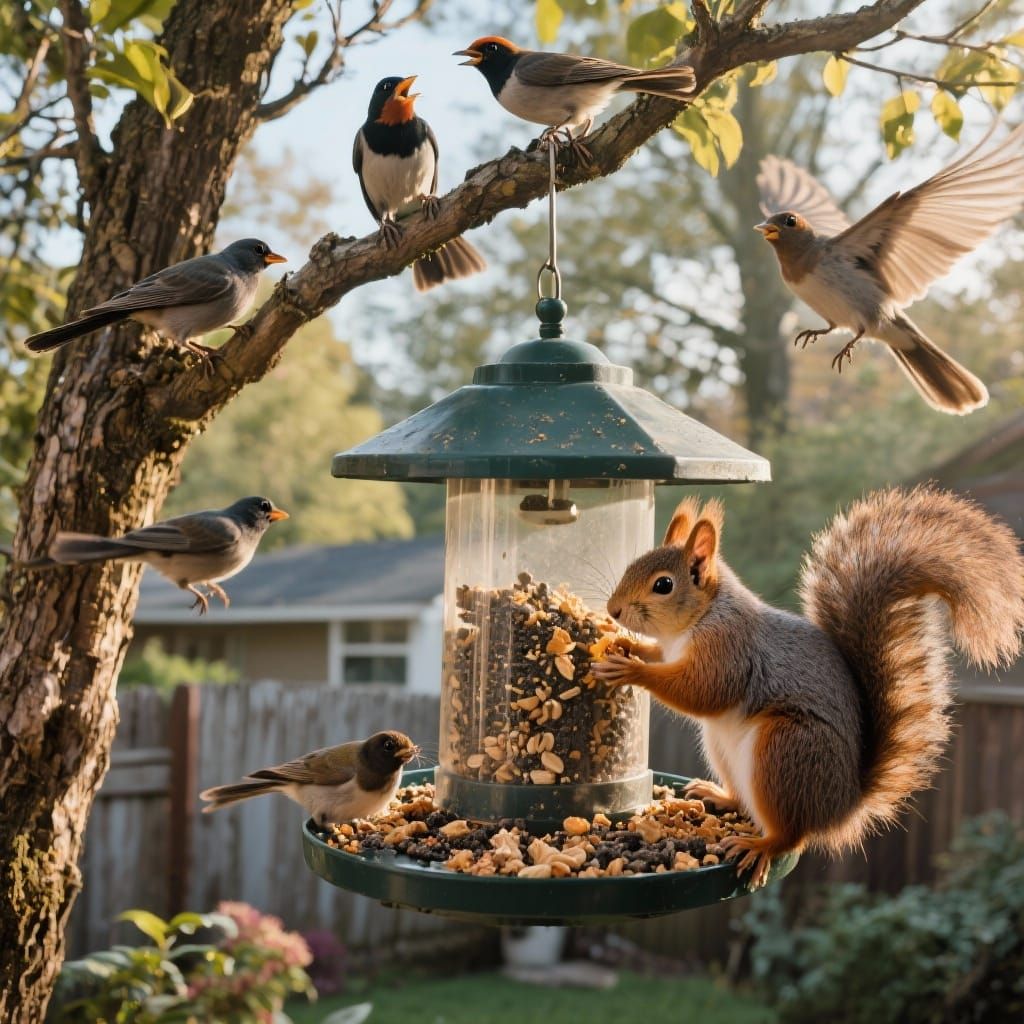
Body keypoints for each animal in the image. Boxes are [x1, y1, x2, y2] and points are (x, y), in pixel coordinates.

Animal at [593, 486, 1024, 887]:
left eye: (663, 585)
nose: (613, 610)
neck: (701, 616)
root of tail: (842, 807)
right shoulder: (674, 649)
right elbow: (660, 657)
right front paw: (629, 647)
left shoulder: (729, 649)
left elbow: (704, 691)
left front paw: (632, 670)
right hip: (724, 748)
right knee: (746, 801)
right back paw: (718, 794)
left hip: (786, 749)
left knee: (791, 836)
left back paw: (762, 845)